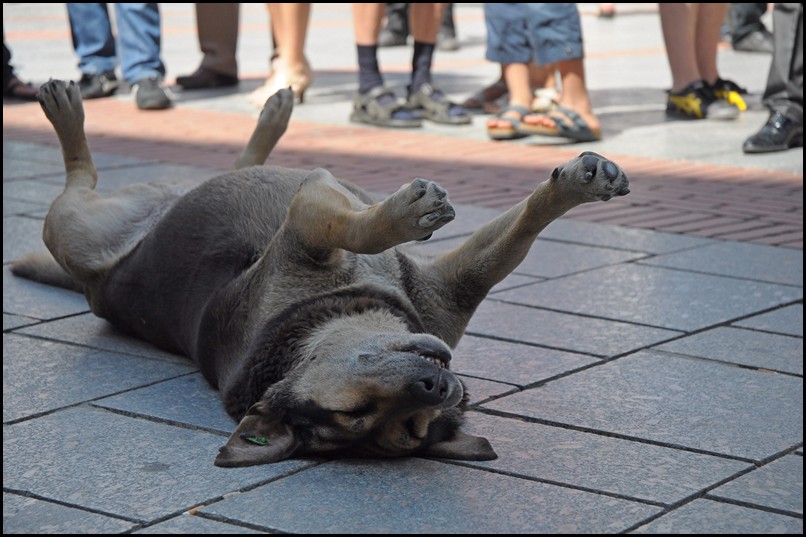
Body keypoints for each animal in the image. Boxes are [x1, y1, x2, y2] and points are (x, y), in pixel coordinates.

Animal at [11, 78, 632, 464]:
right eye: (358, 413)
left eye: (417, 427)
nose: (437, 386)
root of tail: (98, 285)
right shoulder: (308, 220)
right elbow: (357, 226)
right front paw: (401, 214)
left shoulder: (448, 289)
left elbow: (519, 230)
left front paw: (576, 184)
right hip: (76, 226)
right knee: (77, 179)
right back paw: (66, 114)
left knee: (240, 163)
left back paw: (272, 116)